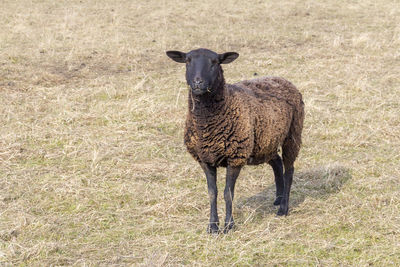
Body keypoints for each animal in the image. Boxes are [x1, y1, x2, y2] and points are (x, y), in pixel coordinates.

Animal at [166, 48, 304, 234]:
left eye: (215, 62)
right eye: (187, 61)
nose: (198, 82)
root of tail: (281, 79)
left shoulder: (235, 157)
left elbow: (228, 193)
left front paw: (229, 225)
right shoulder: (205, 159)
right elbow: (212, 193)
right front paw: (212, 226)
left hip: (293, 134)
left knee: (289, 170)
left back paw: (283, 208)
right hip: (265, 141)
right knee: (276, 162)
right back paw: (278, 198)